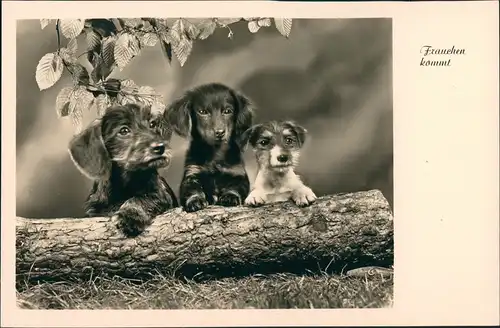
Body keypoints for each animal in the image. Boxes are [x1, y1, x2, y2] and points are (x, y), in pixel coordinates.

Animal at [68, 102, 178, 236]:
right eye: (124, 130)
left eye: (152, 124)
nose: (160, 147)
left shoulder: (159, 194)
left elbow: (141, 199)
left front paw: (130, 216)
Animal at [166, 82, 256, 213]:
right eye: (202, 111)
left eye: (227, 111)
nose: (220, 132)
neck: (216, 154)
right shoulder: (191, 174)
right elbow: (192, 189)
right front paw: (195, 200)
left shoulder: (238, 174)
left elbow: (236, 187)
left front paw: (230, 196)